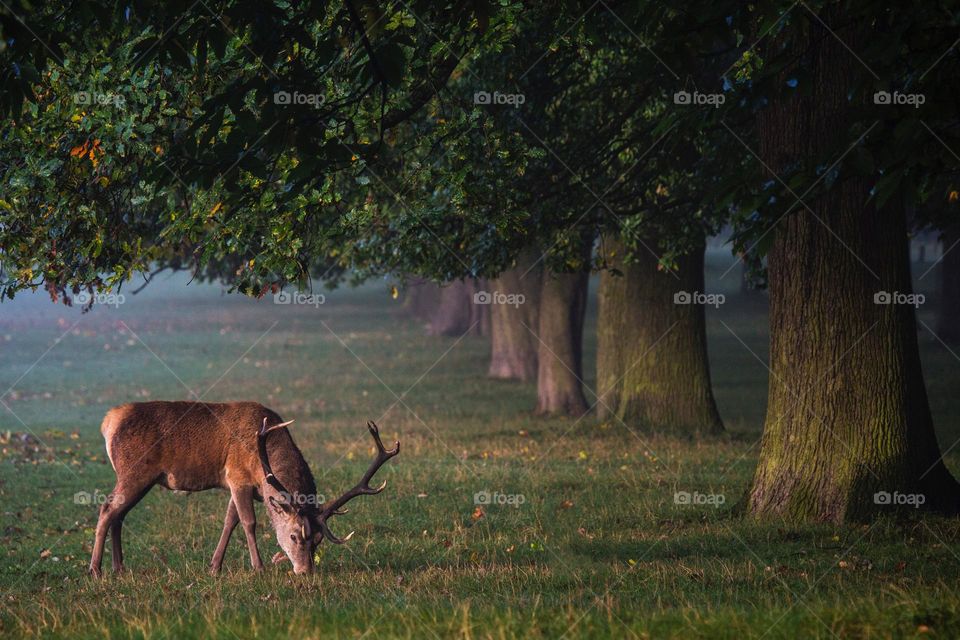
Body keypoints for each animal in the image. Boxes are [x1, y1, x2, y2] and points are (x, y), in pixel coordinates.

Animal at [91, 400, 402, 576]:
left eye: (317, 540)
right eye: (293, 536)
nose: (305, 571)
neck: (261, 462)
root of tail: (108, 422)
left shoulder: (240, 485)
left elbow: (230, 521)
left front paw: (214, 567)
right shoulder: (237, 476)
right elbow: (249, 522)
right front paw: (259, 567)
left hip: (141, 478)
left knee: (119, 514)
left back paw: (119, 568)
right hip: (134, 471)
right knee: (107, 508)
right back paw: (95, 569)